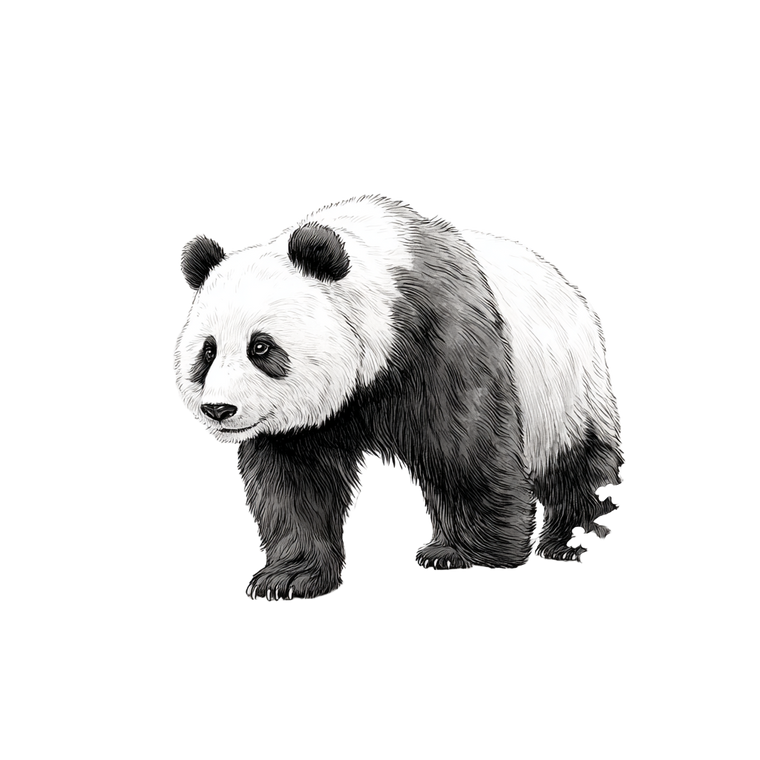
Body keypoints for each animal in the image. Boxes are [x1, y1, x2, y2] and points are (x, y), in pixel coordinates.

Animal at [170, 192, 625, 603]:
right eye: (207, 351)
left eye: (261, 347)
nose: (219, 408)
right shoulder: (301, 422)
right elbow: (294, 480)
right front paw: (287, 578)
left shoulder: (442, 334)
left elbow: (465, 444)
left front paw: (467, 554)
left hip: (566, 388)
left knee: (576, 464)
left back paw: (569, 539)